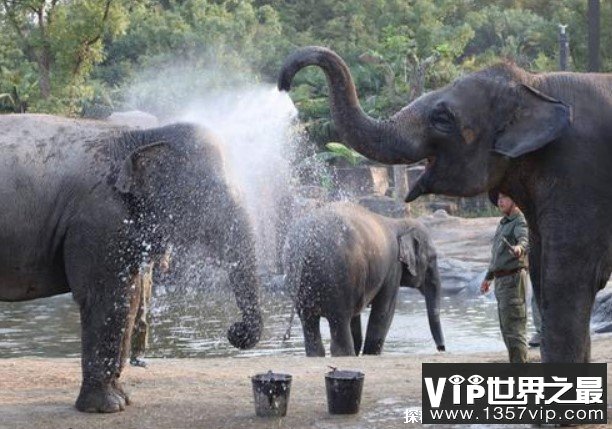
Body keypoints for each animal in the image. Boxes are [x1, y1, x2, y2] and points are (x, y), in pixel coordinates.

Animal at [0, 113, 262, 412]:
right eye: (212, 194)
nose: (235, 331)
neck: (141, 137)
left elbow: (131, 297)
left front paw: (124, 399)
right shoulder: (101, 219)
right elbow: (106, 297)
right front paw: (107, 407)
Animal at [282, 202, 444, 356]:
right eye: (432, 258)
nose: (441, 348)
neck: (399, 222)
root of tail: (308, 239)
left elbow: (357, 320)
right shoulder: (393, 268)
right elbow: (384, 312)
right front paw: (370, 353)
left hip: (300, 279)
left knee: (309, 322)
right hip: (339, 277)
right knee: (340, 321)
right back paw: (346, 354)